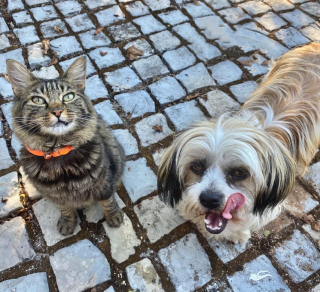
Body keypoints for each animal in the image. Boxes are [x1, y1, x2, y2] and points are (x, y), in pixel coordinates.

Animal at [6, 58, 125, 236]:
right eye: (38, 100)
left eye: (68, 97)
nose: (57, 111)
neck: (58, 151)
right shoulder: (56, 197)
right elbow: (65, 210)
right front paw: (68, 223)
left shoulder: (104, 182)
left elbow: (108, 201)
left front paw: (114, 216)